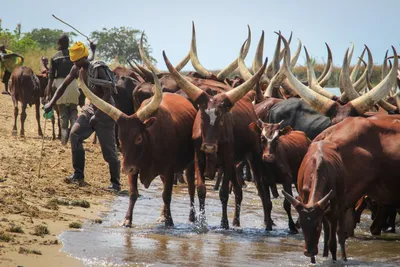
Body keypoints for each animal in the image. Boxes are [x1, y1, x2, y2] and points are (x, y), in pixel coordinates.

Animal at [78, 67, 197, 228]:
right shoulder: (134, 167)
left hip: (190, 163)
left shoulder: (169, 169)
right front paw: (127, 220)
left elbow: (166, 195)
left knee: (191, 188)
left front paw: (169, 221)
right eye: (120, 139)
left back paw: (192, 217)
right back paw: (162, 215)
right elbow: (133, 193)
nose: (126, 168)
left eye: (138, 138)